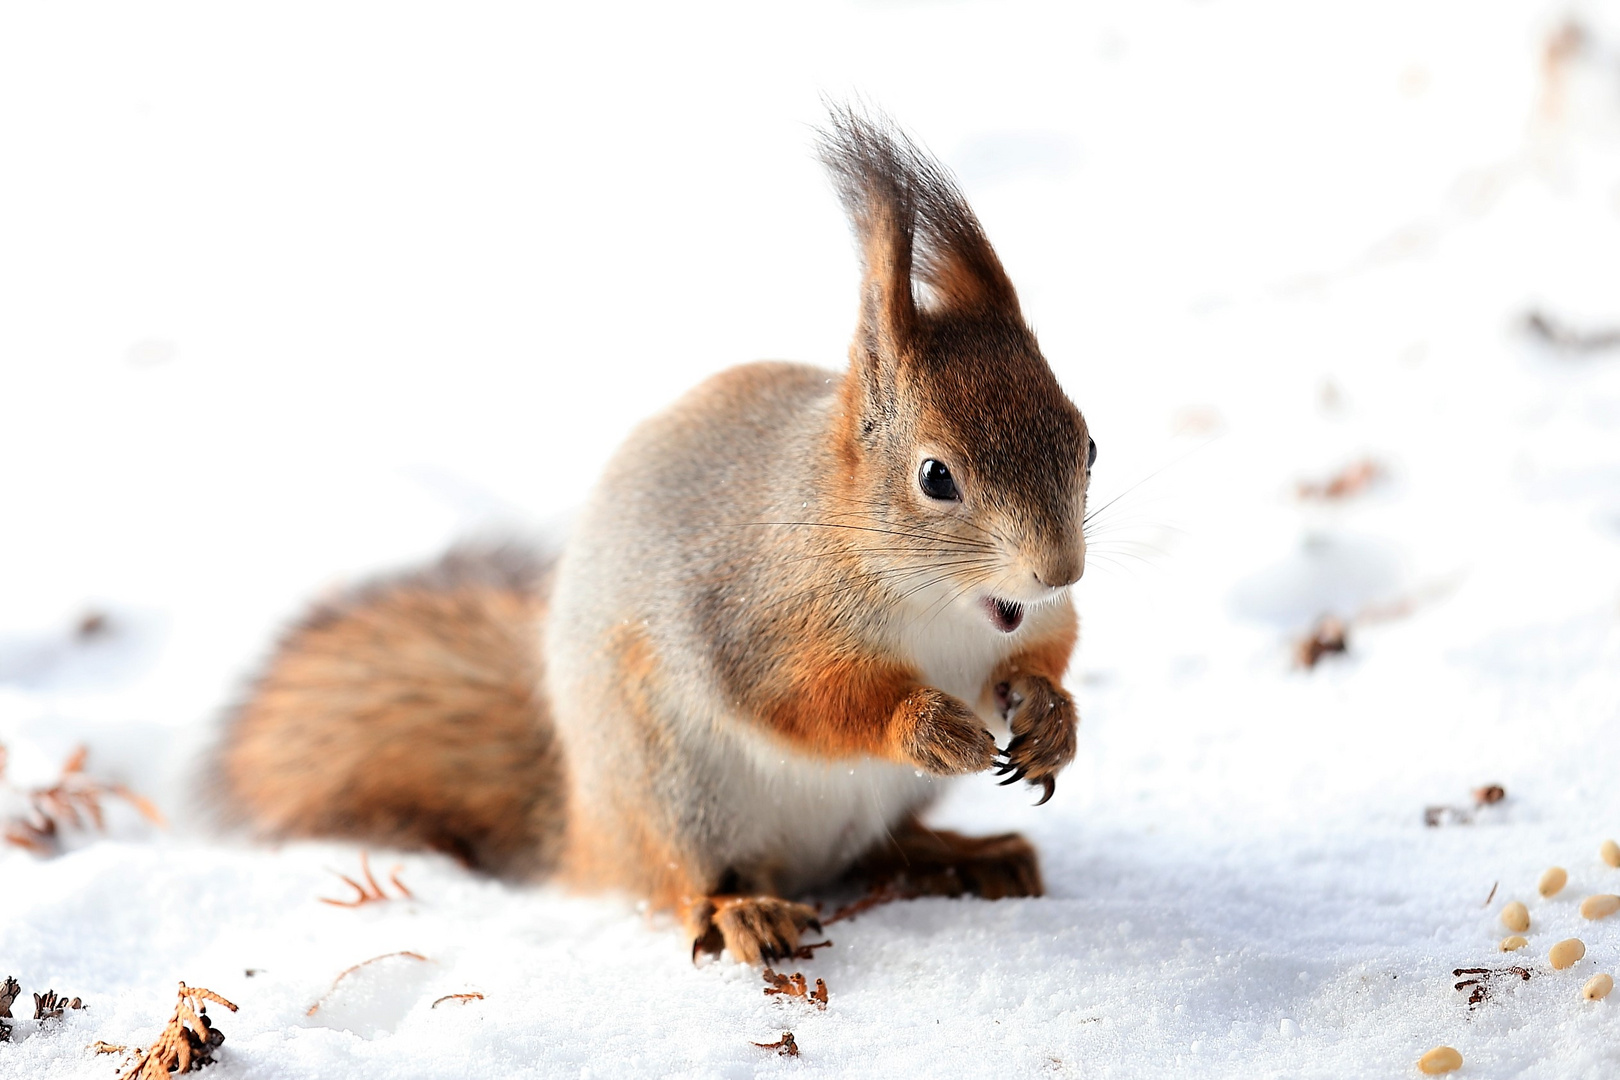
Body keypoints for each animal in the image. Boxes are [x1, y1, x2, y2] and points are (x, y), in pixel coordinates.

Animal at [215, 110, 1095, 965]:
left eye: (1087, 444)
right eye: (936, 477)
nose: (1059, 570)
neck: (944, 606)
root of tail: (587, 825)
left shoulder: (1038, 624)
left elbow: (1048, 652)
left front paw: (1051, 718)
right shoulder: (758, 617)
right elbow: (807, 699)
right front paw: (927, 725)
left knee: (883, 850)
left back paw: (970, 854)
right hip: (671, 787)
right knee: (676, 882)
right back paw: (739, 910)